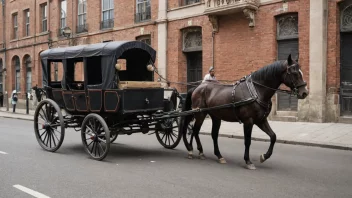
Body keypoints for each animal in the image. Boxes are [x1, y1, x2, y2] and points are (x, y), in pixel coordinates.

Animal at [180, 55, 310, 169]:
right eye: (294, 73)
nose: (304, 92)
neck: (257, 91)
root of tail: (197, 87)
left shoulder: (261, 120)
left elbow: (273, 136)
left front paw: (264, 156)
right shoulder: (248, 121)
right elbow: (247, 141)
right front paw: (248, 161)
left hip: (215, 116)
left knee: (212, 134)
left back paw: (217, 155)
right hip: (200, 114)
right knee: (195, 131)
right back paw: (195, 150)